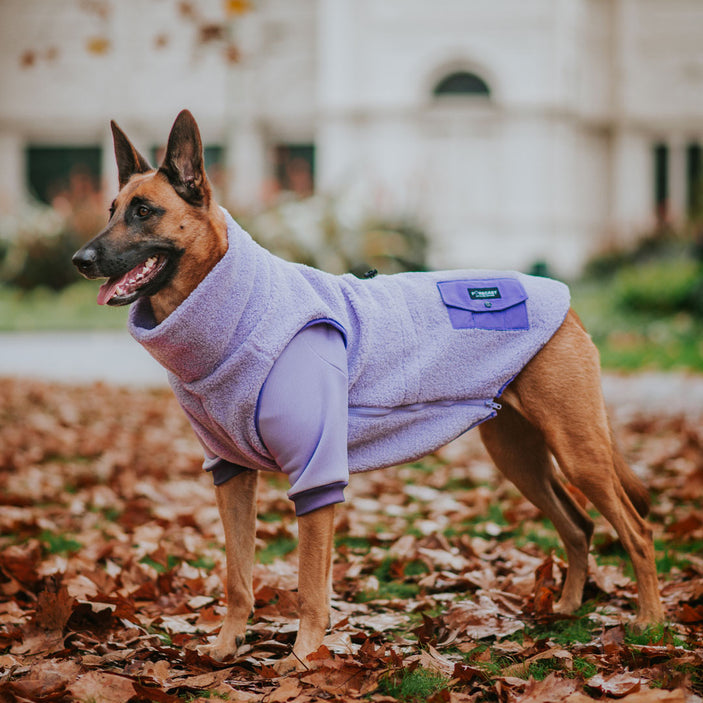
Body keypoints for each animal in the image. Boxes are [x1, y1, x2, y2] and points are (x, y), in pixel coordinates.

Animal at [74, 108, 668, 672]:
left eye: (144, 211)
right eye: (111, 209)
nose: (79, 260)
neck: (235, 310)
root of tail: (565, 303)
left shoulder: (316, 475)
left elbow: (310, 588)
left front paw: (302, 659)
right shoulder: (232, 476)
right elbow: (237, 576)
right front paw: (225, 647)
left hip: (578, 450)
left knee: (636, 531)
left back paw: (651, 622)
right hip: (519, 457)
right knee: (580, 525)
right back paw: (567, 607)